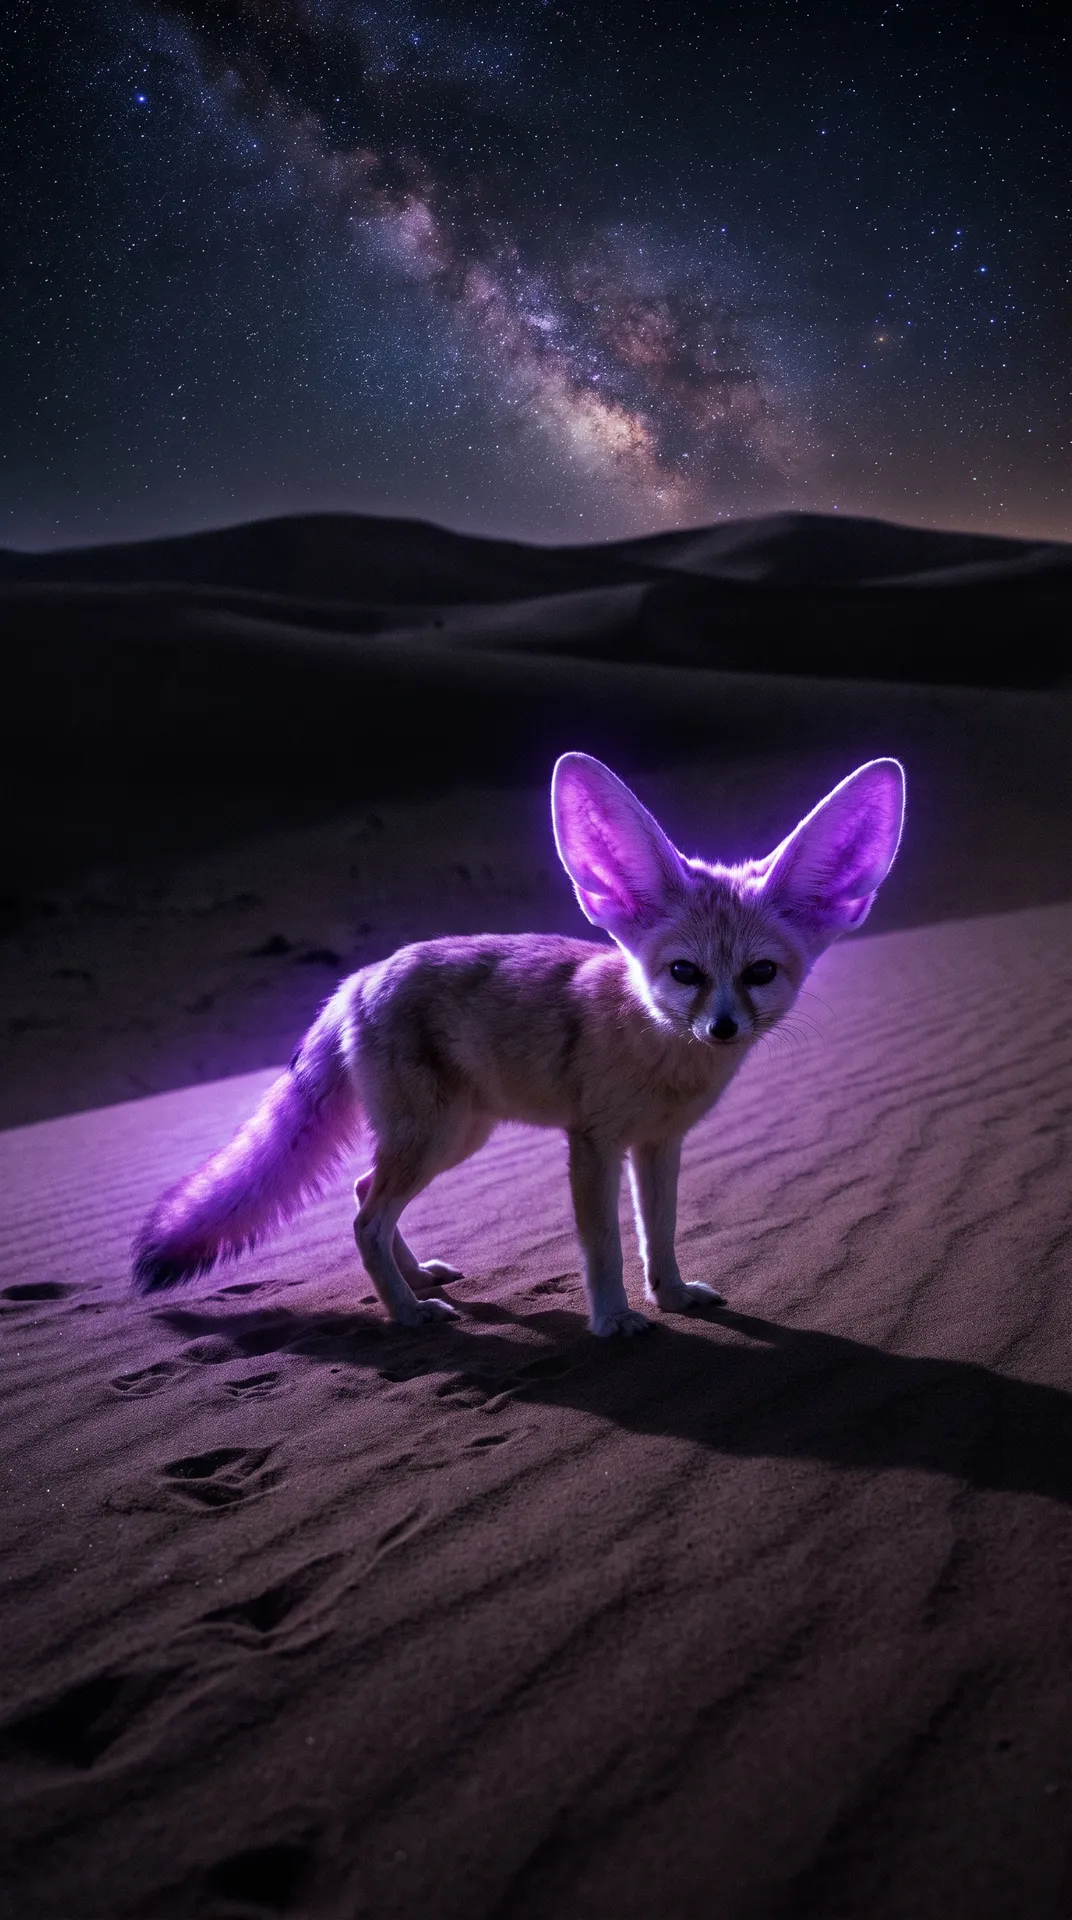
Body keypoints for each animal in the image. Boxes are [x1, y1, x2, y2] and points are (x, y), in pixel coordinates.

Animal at [133, 752, 905, 1335]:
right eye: (685, 972)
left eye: (759, 974)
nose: (722, 1028)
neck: (661, 1053)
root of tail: (358, 978)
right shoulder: (592, 1144)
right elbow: (604, 1247)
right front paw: (614, 1322)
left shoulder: (659, 1145)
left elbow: (659, 1234)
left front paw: (674, 1297)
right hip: (439, 1138)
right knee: (364, 1219)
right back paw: (409, 1313)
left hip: (456, 1137)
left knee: (361, 1195)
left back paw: (416, 1279)